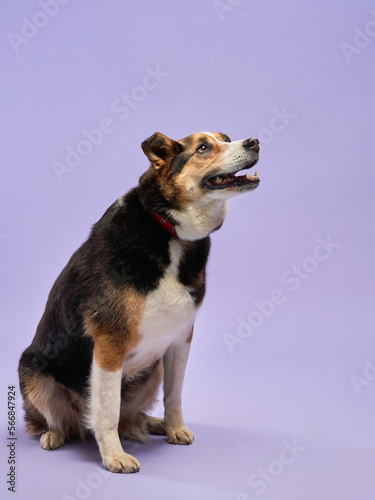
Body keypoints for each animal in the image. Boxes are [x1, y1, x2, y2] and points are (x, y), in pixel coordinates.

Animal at [18, 129, 262, 472]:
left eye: (225, 138)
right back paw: (54, 435)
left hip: (153, 368)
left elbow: (174, 396)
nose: (254, 142)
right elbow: (107, 411)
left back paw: (152, 423)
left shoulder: (180, 339)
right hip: (34, 373)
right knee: (56, 421)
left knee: (129, 417)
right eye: (203, 147)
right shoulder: (110, 343)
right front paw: (114, 457)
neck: (171, 231)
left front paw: (174, 428)